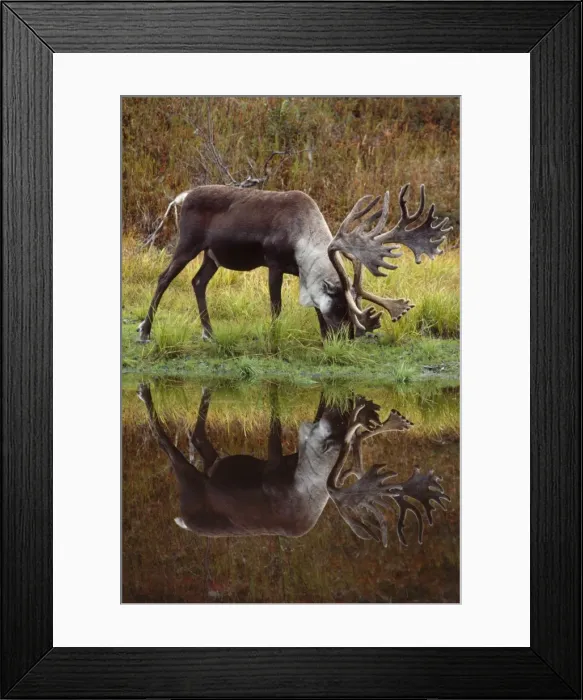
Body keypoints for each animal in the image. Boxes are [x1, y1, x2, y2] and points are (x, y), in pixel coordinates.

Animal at [136, 183, 452, 342]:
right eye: (341, 307)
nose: (346, 338)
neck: (303, 236)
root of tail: (182, 196)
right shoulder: (274, 263)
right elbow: (276, 305)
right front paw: (275, 337)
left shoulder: (301, 272)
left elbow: (313, 306)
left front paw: (323, 338)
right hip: (188, 243)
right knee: (164, 278)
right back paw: (145, 330)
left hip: (212, 255)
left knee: (198, 281)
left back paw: (209, 333)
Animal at [137, 383, 450, 546]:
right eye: (329, 442)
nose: (338, 420)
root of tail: (185, 521)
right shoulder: (274, 473)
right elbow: (275, 430)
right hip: (189, 483)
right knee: (169, 446)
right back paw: (142, 393)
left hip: (213, 466)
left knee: (198, 438)